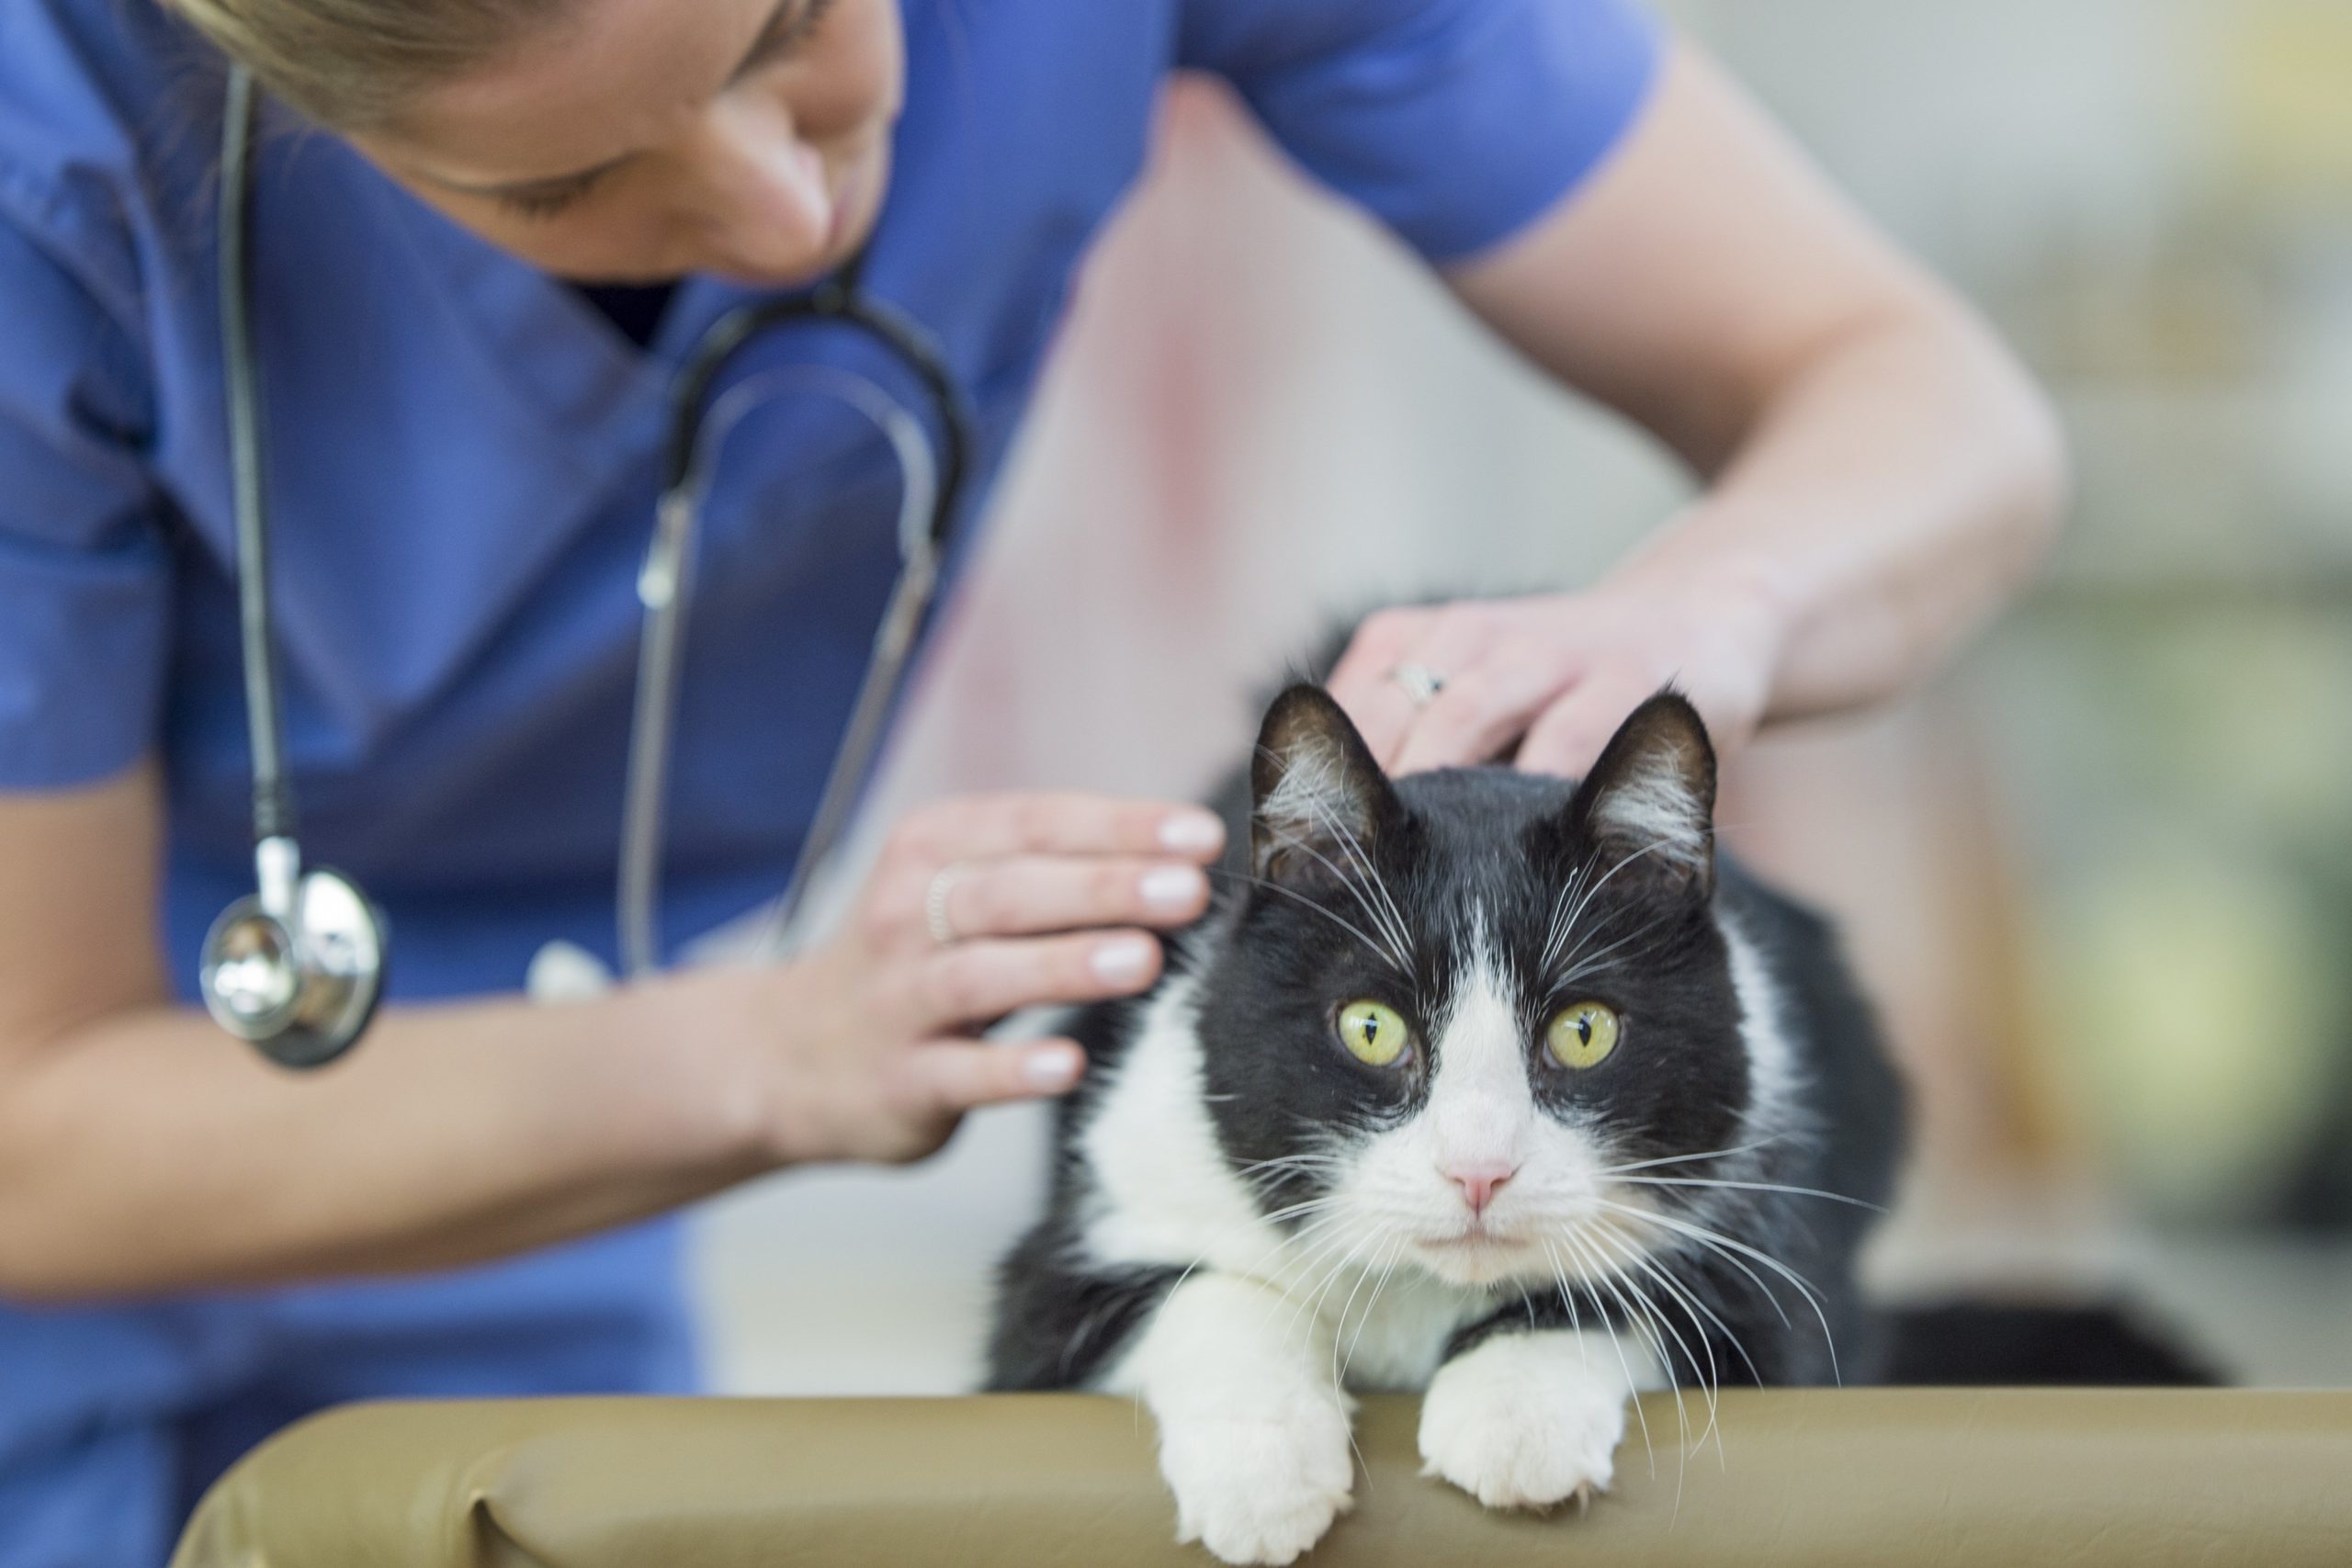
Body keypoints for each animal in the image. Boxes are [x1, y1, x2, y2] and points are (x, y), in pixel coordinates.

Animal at [983, 686, 1900, 1568]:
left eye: (1585, 1030)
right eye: (1371, 1027)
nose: (1478, 1171)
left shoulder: (1772, 1264)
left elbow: (1661, 1297)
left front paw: (1515, 1410)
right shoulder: (1095, 1223)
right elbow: (1195, 1289)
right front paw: (1262, 1473)